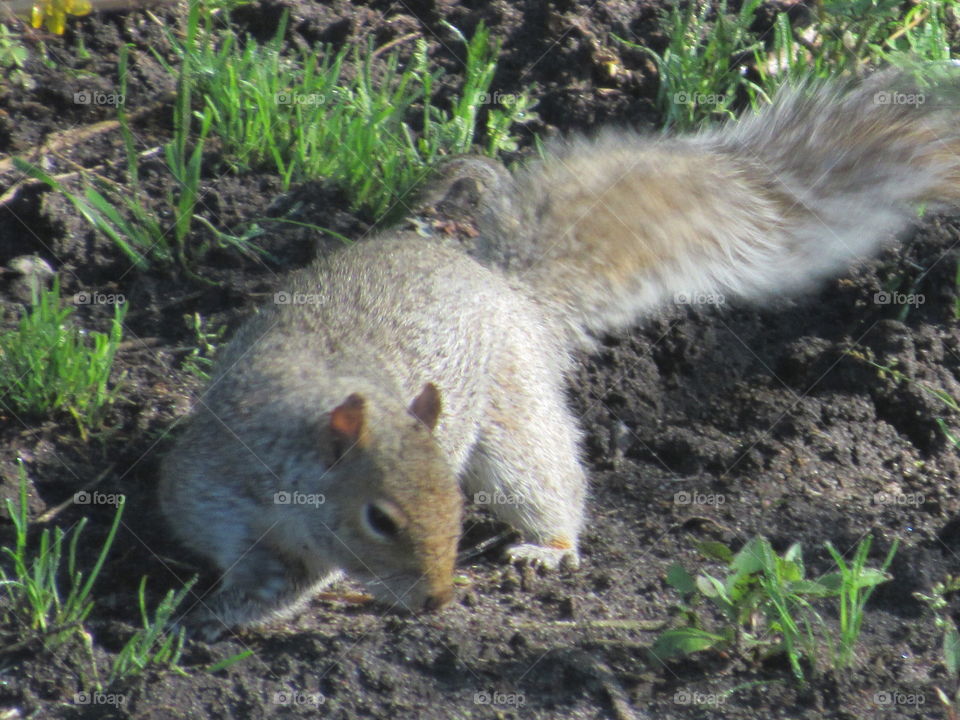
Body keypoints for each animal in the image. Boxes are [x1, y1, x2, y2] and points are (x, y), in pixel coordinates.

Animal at [159, 69, 960, 640]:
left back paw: (547, 546)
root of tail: (508, 290)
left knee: (549, 480)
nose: (437, 601)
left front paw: (213, 616)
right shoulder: (205, 486)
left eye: (454, 502)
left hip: (513, 427)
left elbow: (291, 585)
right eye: (380, 518)